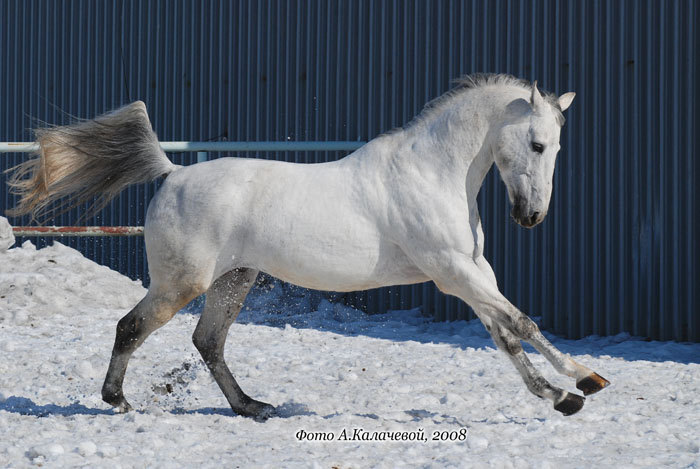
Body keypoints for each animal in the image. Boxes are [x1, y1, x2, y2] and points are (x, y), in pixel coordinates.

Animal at [6, 72, 608, 416]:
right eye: (537, 143)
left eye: (557, 148)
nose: (531, 216)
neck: (433, 174)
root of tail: (173, 173)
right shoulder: (453, 273)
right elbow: (521, 324)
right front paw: (576, 386)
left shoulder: (474, 274)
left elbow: (507, 333)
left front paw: (571, 390)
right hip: (182, 283)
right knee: (132, 327)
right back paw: (119, 401)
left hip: (235, 280)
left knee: (208, 342)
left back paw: (251, 406)